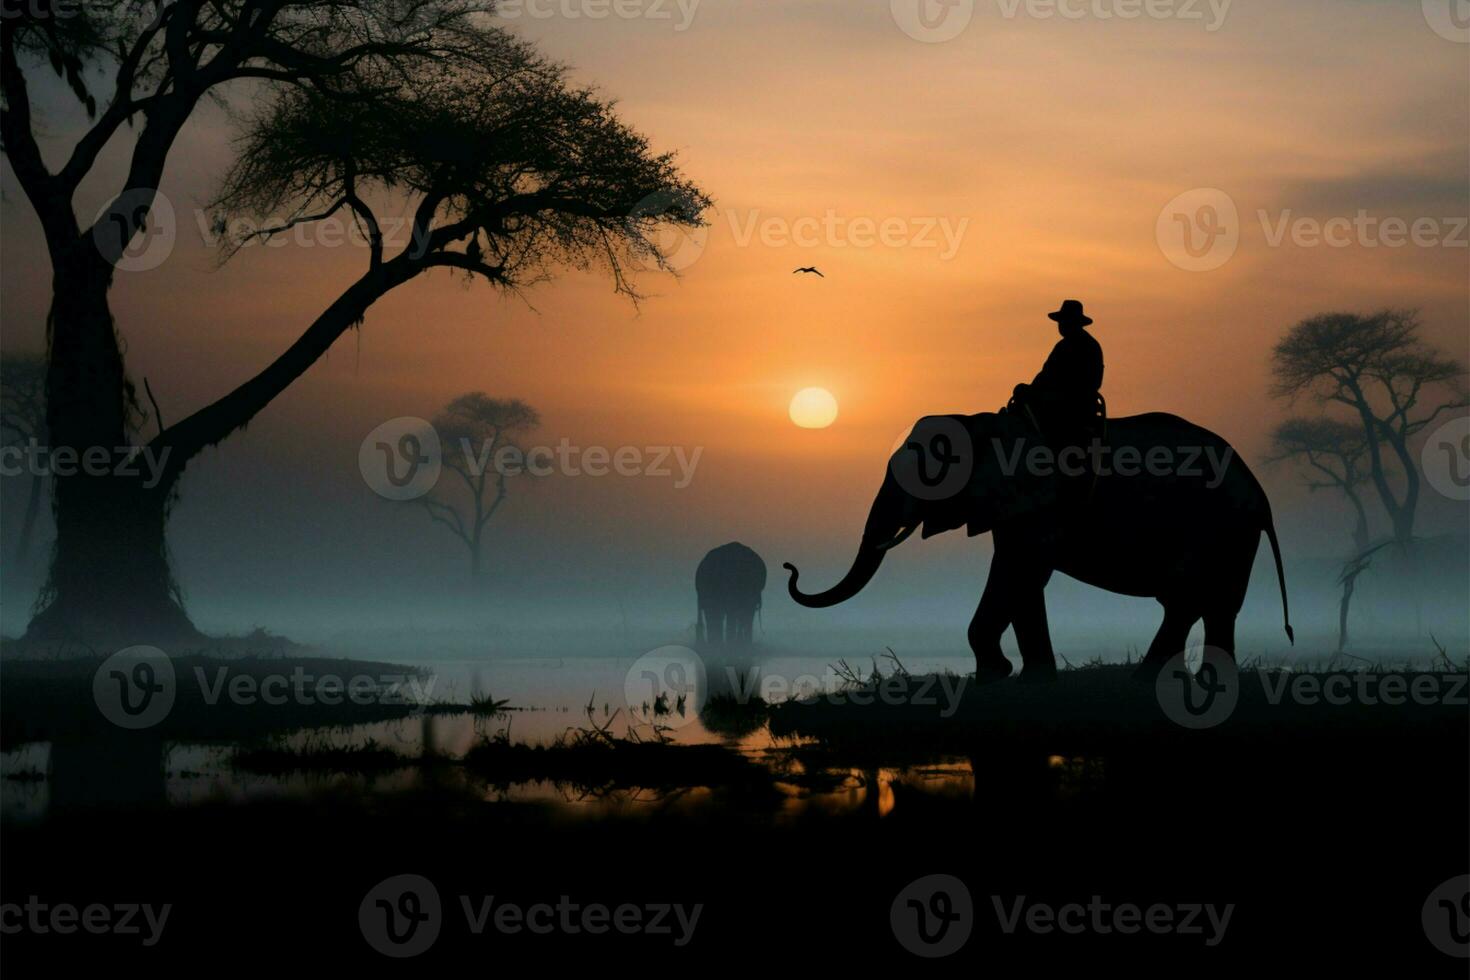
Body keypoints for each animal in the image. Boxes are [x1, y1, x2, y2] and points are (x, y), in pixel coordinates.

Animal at [782, 411, 1287, 681]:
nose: (791, 568)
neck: (983, 423)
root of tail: (1262, 493)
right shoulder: (1012, 507)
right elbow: (1022, 579)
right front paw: (1031, 677)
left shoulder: (1038, 504)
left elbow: (1017, 571)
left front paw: (996, 675)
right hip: (1232, 534)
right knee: (1213, 604)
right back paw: (1198, 682)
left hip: (1218, 526)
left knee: (1190, 599)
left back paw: (1154, 680)